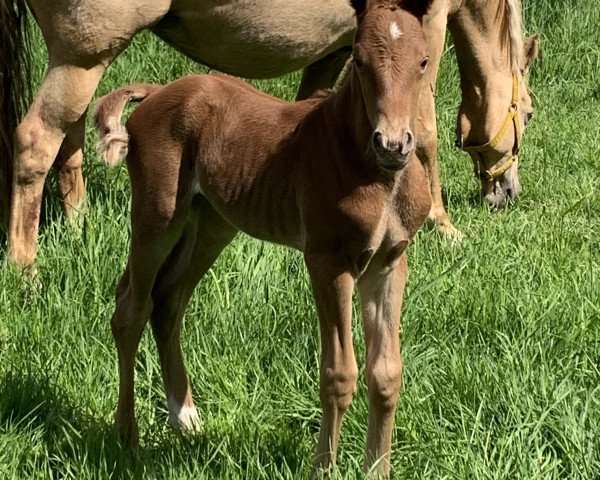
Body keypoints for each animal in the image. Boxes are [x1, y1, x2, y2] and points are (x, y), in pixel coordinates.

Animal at [0, 0, 540, 266]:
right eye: (530, 114)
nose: (508, 192)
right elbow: (424, 132)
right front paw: (443, 225)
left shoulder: (339, 51)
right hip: (82, 56)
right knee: (35, 143)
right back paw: (26, 272)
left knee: (69, 142)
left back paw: (78, 226)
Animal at [97, 0, 436, 474]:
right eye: (358, 59)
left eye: (423, 60)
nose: (392, 144)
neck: (377, 176)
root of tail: (157, 92)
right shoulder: (328, 262)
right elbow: (338, 374)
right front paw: (323, 470)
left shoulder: (389, 262)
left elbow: (386, 373)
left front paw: (376, 470)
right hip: (158, 215)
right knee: (130, 308)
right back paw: (127, 437)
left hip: (212, 223)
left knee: (168, 299)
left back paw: (185, 418)